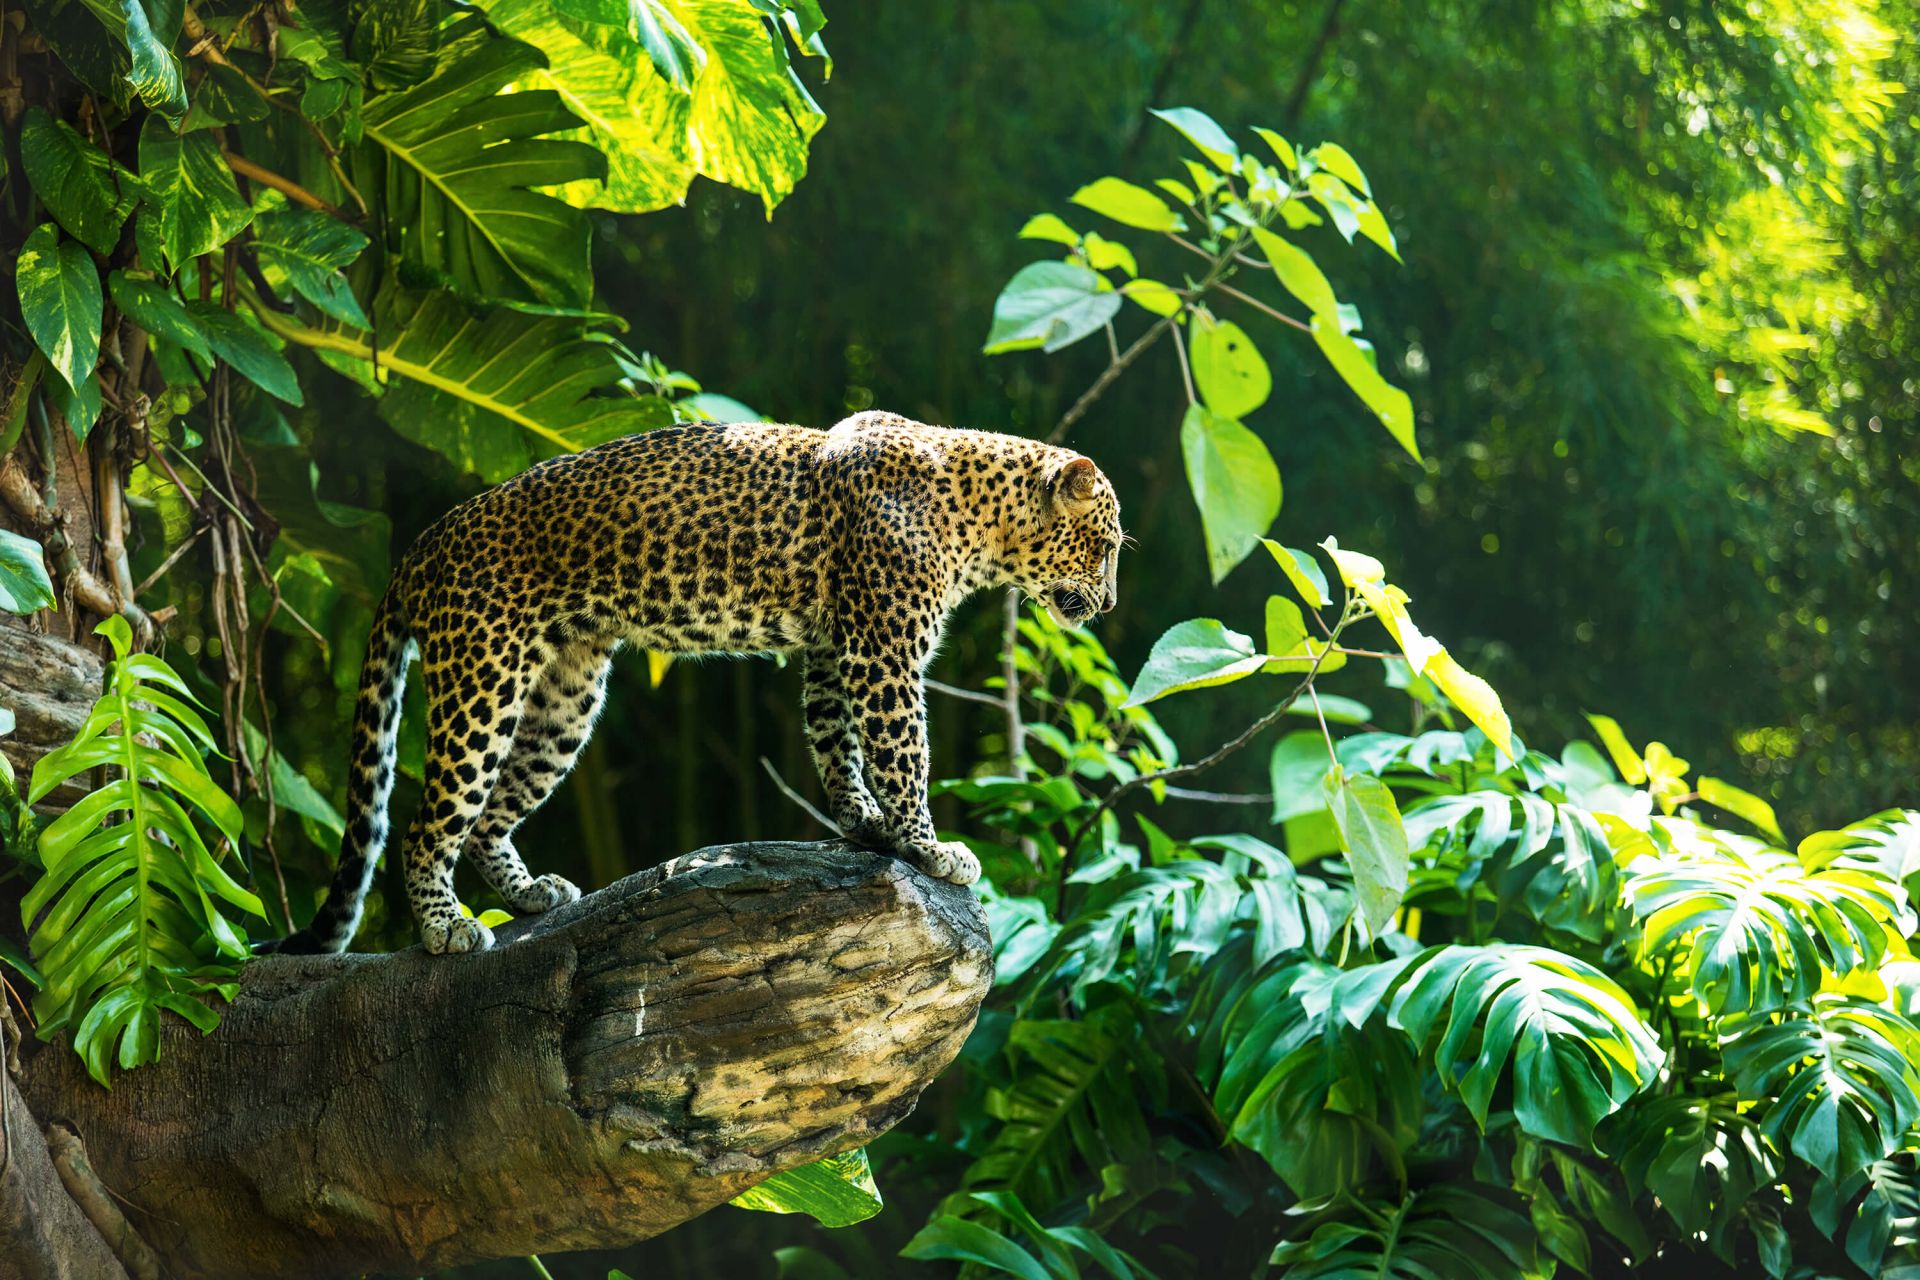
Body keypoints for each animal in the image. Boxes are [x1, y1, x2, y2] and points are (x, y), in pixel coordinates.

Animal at [273, 411, 1123, 955]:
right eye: (1108, 544)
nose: (1112, 604)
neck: (979, 516)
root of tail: (423, 542)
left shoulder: (834, 647)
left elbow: (836, 744)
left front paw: (865, 826)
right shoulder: (883, 653)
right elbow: (901, 751)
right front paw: (928, 845)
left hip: (565, 695)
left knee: (488, 817)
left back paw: (530, 895)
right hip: (483, 677)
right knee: (428, 821)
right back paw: (445, 929)